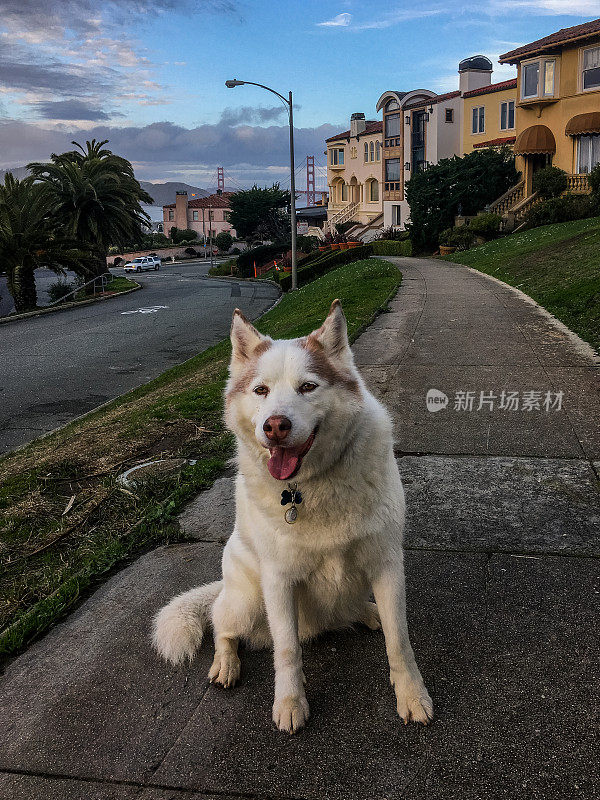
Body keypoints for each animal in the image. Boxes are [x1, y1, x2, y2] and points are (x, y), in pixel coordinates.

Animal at [151, 298, 432, 732]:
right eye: (261, 390)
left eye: (307, 387)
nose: (275, 427)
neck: (311, 484)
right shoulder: (279, 581)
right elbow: (286, 650)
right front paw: (289, 703)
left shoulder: (387, 565)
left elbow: (399, 641)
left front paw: (412, 695)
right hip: (247, 600)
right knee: (221, 626)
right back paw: (225, 664)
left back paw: (367, 613)